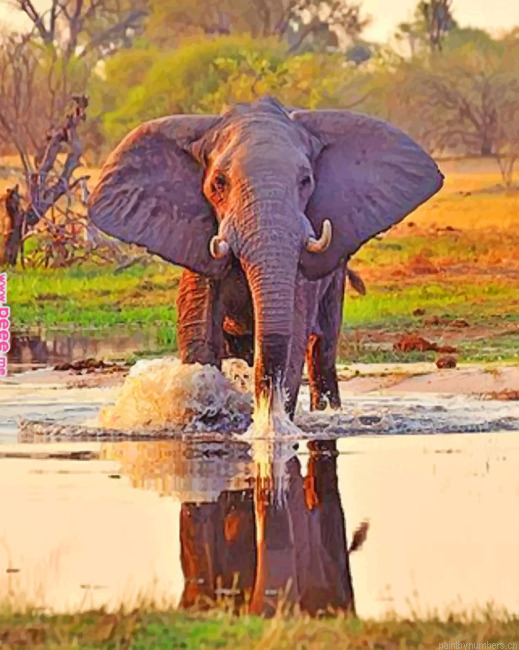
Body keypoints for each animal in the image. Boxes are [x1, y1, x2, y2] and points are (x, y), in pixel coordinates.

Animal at [88, 96, 443, 419]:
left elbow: (294, 335)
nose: (264, 408)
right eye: (219, 183)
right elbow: (201, 336)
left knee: (322, 348)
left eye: (306, 181)